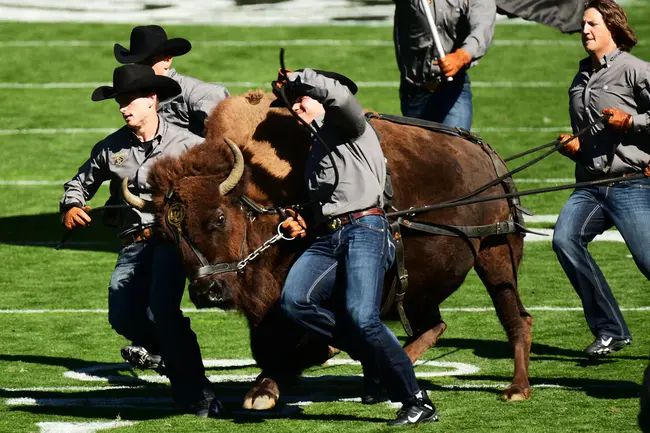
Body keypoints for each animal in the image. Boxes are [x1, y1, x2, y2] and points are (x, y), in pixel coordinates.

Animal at [125, 90, 532, 408]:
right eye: (168, 231)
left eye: (220, 217)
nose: (207, 290)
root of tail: (488, 154)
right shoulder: (266, 308)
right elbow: (269, 344)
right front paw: (267, 387)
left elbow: (309, 339)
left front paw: (265, 390)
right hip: (424, 287)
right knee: (435, 324)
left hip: (496, 253)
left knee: (515, 318)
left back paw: (516, 389)